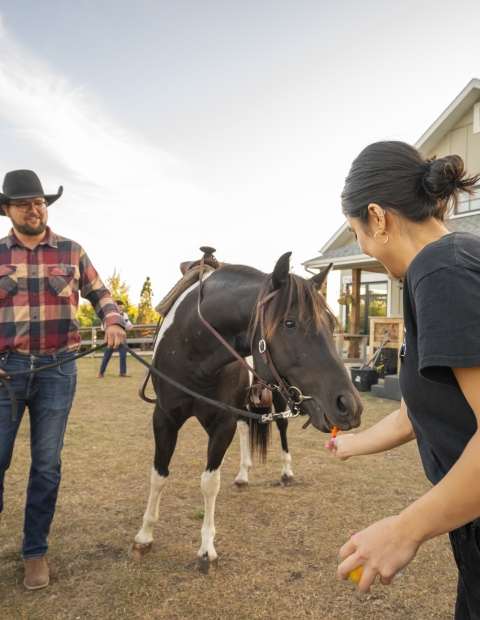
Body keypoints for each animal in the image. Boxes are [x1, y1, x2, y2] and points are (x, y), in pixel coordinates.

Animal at [129, 251, 362, 572]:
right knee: (245, 431)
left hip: (278, 401)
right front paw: (144, 536)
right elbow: (158, 476)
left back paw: (286, 472)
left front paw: (206, 550)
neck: (192, 347)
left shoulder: (221, 423)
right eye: (290, 323)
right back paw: (243, 475)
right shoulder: (164, 417)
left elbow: (209, 483)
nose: (349, 405)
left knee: (282, 432)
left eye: (329, 322)